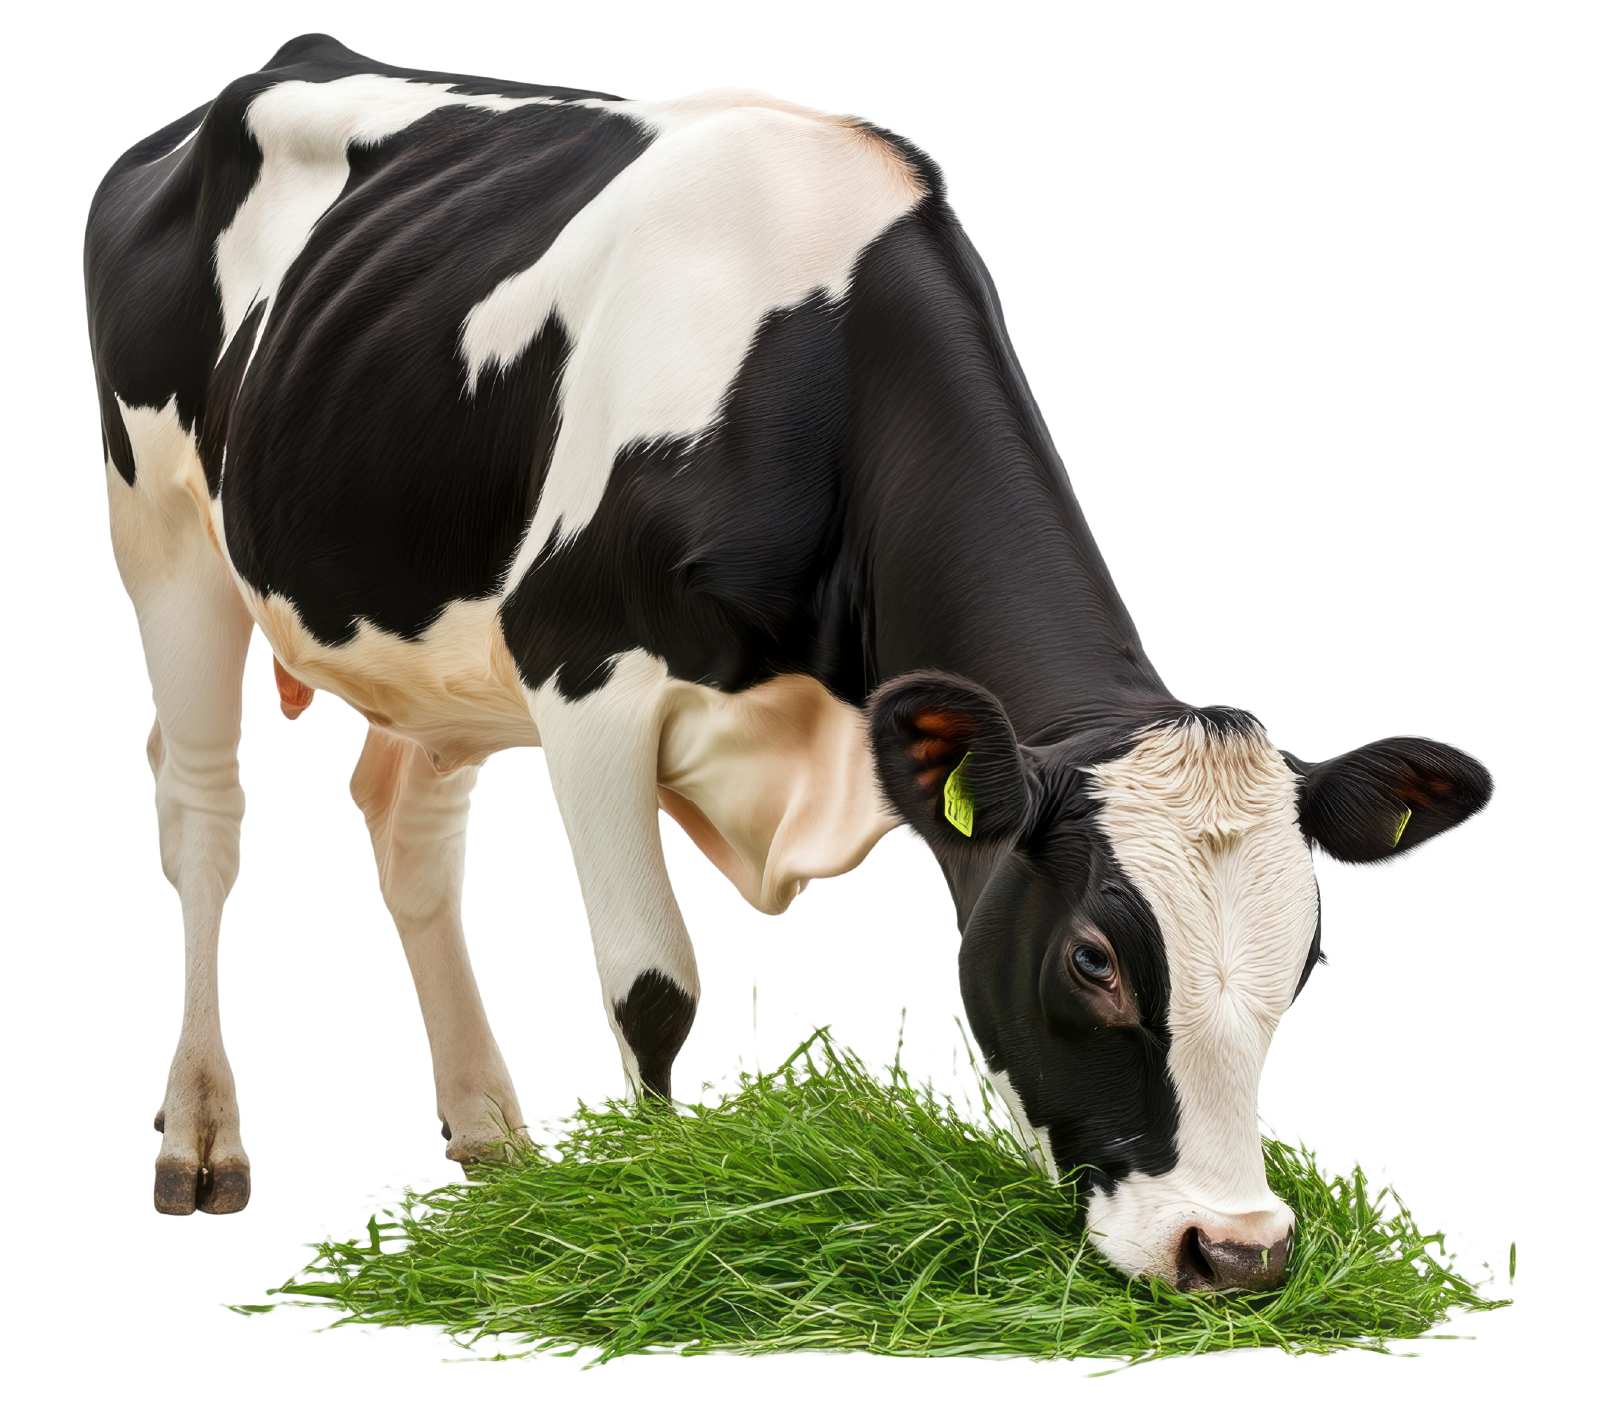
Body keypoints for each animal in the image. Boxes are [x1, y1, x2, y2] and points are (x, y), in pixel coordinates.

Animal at [87, 35, 1494, 1292]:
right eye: (1094, 959)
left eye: (1304, 956)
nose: (1238, 1252)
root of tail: (257, 79)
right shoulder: (584, 674)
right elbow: (654, 989)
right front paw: (653, 1226)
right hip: (166, 524)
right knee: (204, 809)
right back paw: (203, 1138)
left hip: (436, 646)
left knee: (404, 824)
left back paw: (496, 1143)